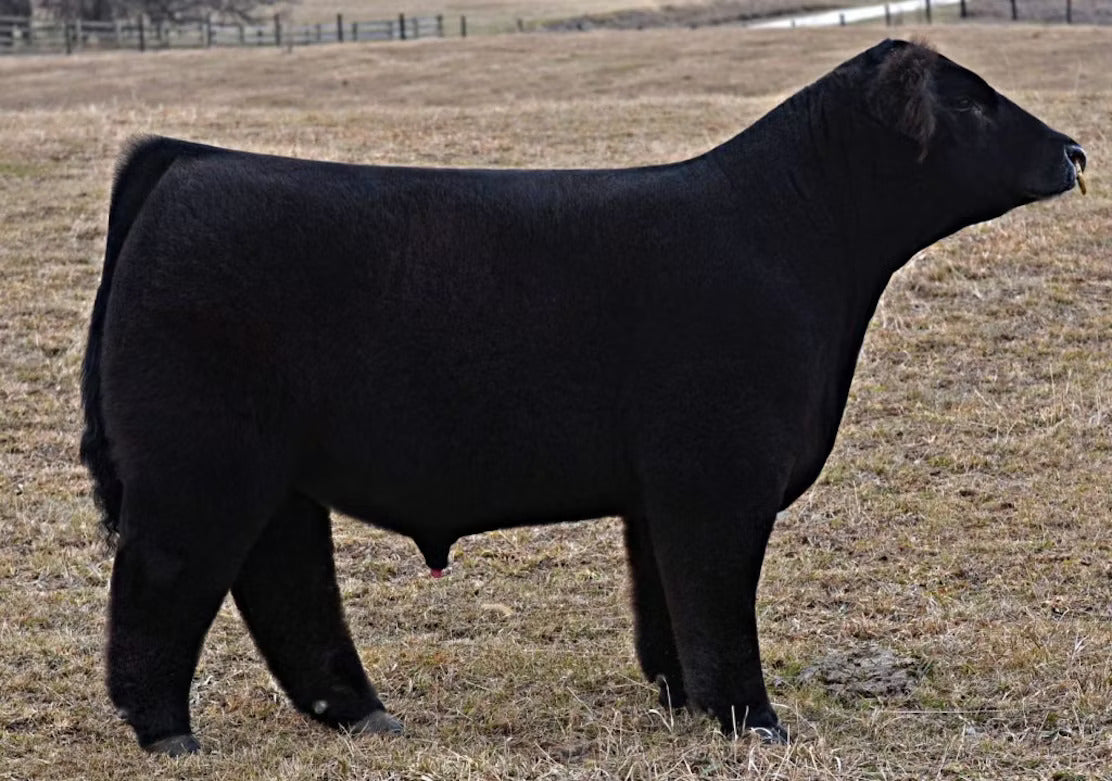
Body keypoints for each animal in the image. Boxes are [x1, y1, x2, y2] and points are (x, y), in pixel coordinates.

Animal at [80, 39, 1086, 755]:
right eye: (972, 100)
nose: (1077, 149)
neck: (795, 237)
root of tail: (188, 160)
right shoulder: (719, 474)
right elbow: (717, 600)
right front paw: (754, 720)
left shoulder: (661, 491)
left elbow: (666, 605)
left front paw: (687, 705)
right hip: (199, 461)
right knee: (163, 579)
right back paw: (170, 732)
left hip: (277, 472)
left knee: (283, 579)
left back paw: (364, 713)